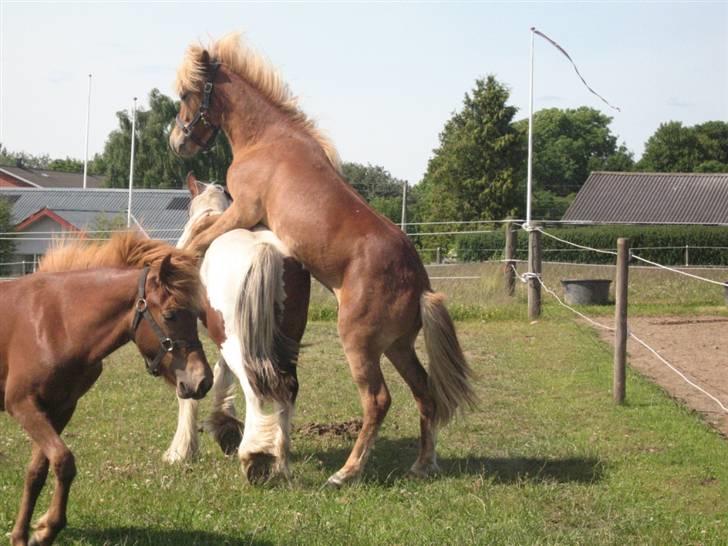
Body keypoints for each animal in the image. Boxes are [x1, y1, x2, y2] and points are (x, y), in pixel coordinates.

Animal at [0, 234, 210, 544]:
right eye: (171, 315)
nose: (202, 380)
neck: (56, 322)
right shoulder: (22, 404)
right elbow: (64, 461)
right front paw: (46, 528)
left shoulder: (60, 409)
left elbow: (38, 471)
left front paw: (31, 532)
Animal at [171, 33, 478, 484]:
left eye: (185, 95)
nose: (176, 141)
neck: (267, 139)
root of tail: (420, 284)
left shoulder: (243, 210)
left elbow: (200, 238)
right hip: (398, 346)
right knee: (424, 392)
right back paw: (422, 464)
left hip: (360, 345)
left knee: (379, 401)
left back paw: (346, 473)